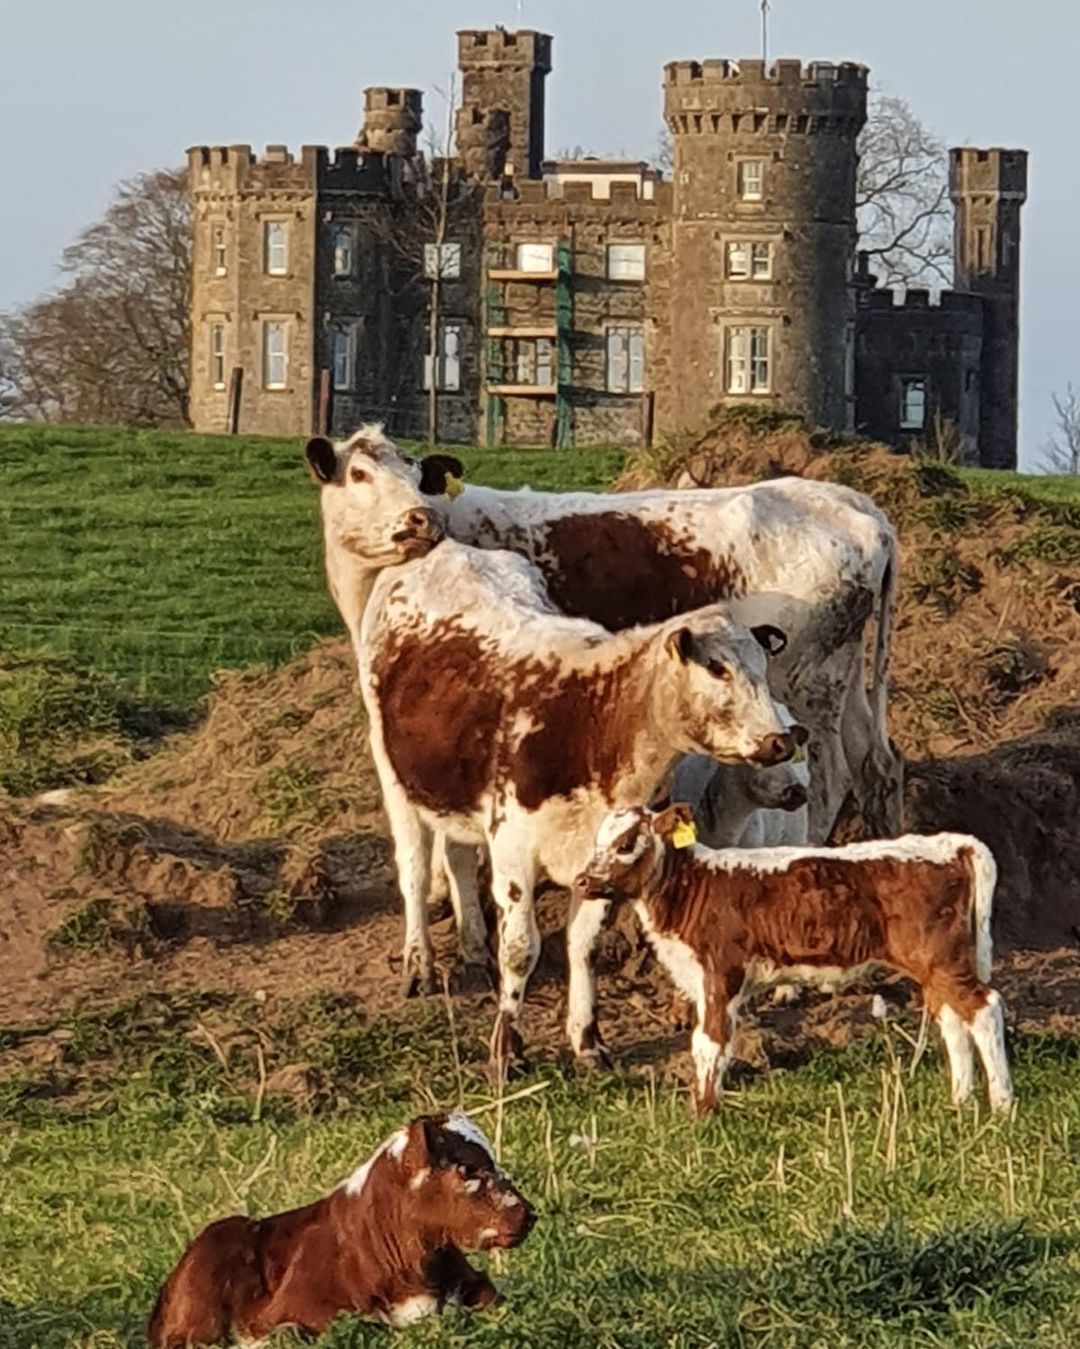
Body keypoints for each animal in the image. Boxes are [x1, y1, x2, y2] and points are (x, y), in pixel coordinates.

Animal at [358, 534, 798, 1063]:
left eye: (763, 668)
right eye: (716, 668)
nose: (779, 741)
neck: (596, 721)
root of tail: (443, 550)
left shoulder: (604, 857)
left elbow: (584, 944)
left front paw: (587, 1037)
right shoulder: (513, 852)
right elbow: (520, 949)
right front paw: (508, 1045)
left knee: (459, 858)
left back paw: (472, 948)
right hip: (394, 777)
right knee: (415, 870)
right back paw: (419, 963)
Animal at [571, 804, 1013, 1111]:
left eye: (626, 845)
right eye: (596, 844)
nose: (582, 881)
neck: (695, 886)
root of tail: (950, 843)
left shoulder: (721, 974)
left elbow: (708, 1042)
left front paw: (703, 1113)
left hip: (943, 962)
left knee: (984, 1008)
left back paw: (1002, 1106)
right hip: (938, 966)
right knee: (953, 1020)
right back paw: (960, 1102)